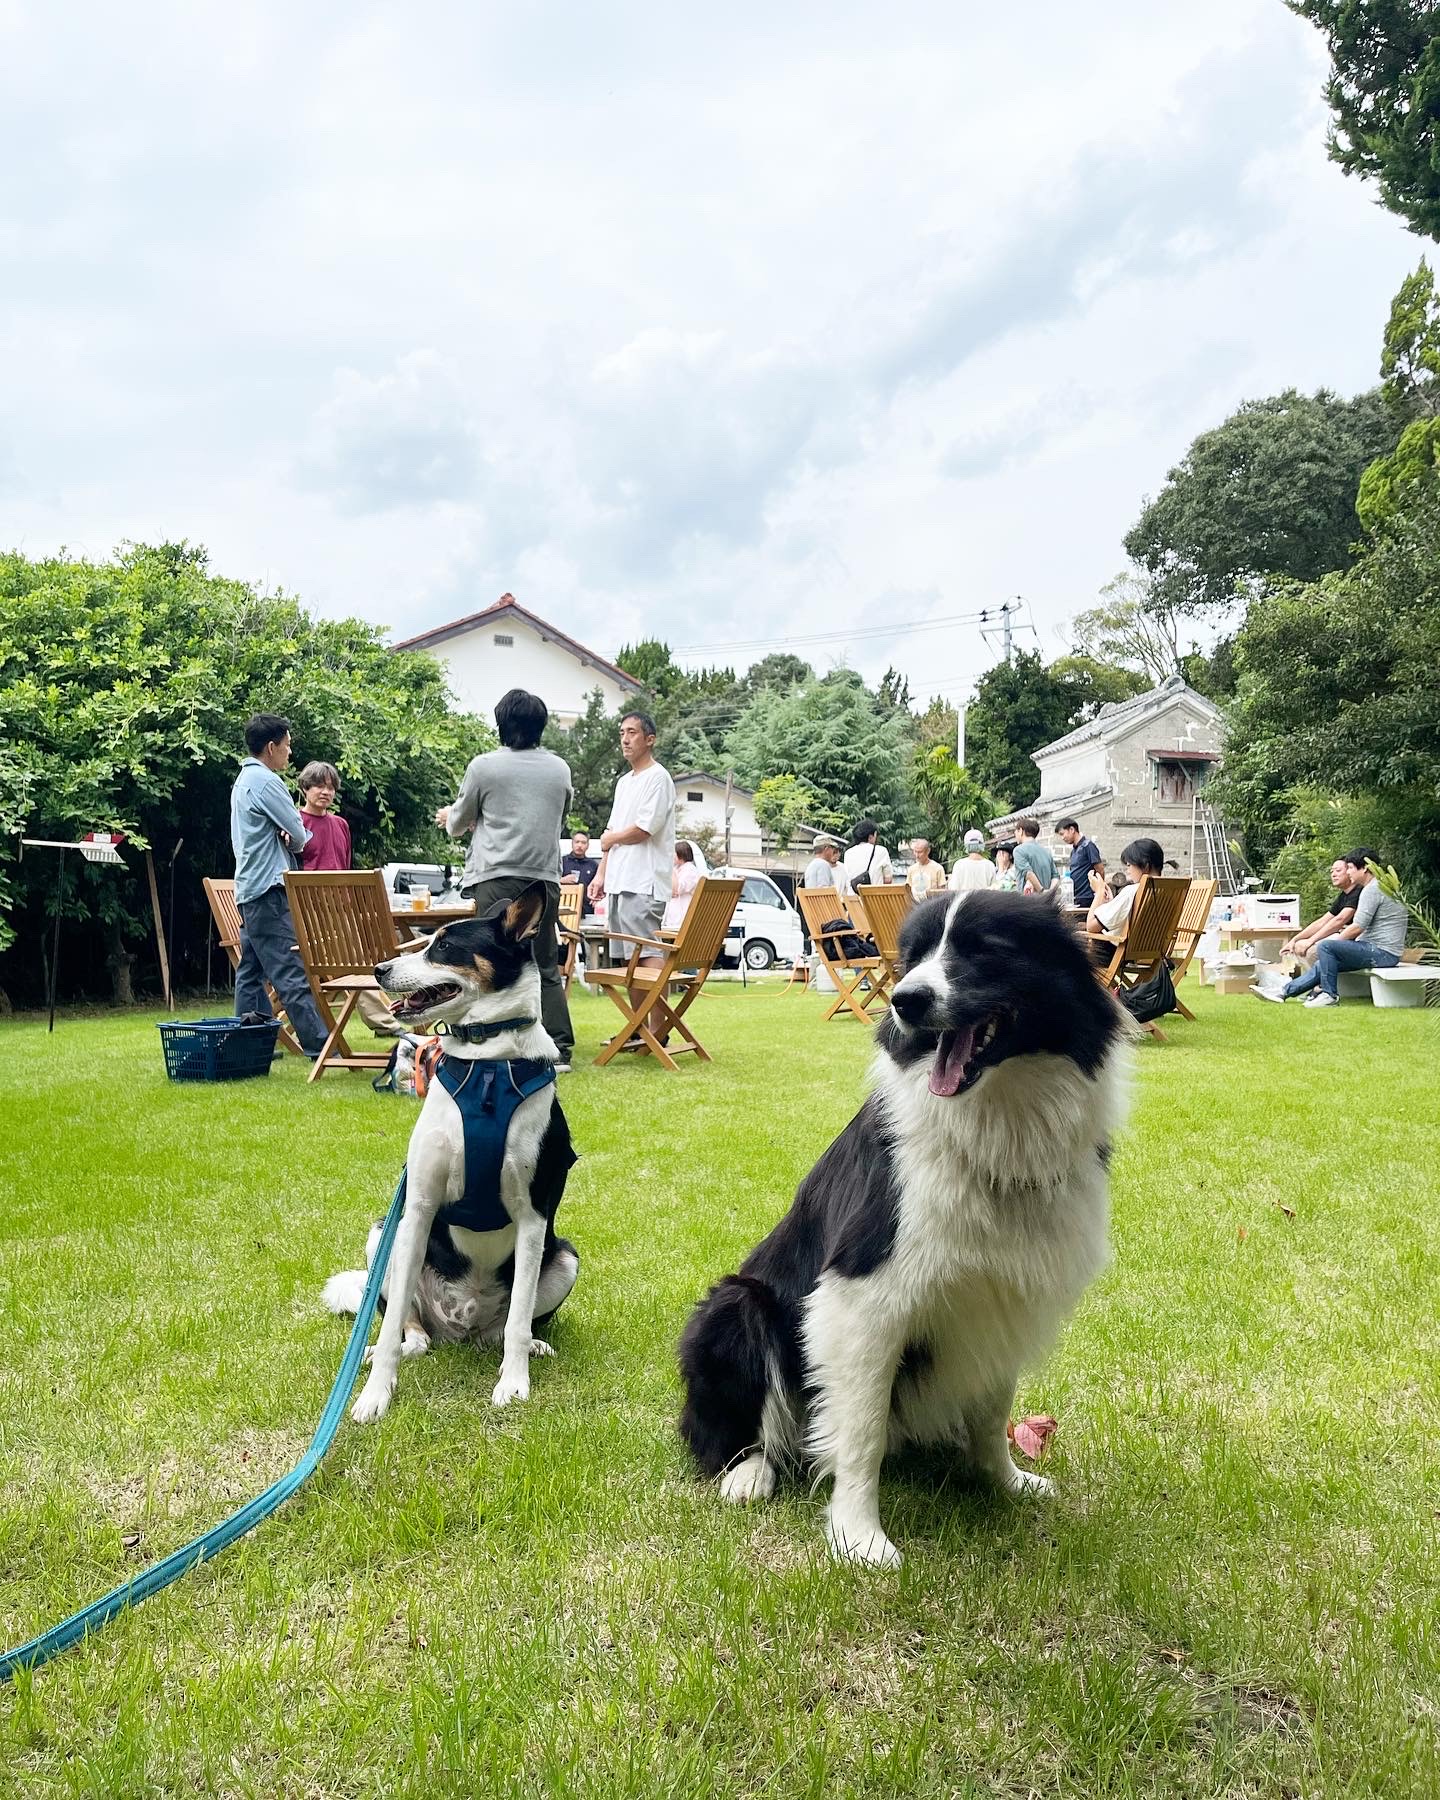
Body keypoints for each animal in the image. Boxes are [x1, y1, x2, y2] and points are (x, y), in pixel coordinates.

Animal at [324, 884, 579, 1424]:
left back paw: (527, 1349)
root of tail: (460, 1324)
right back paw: (390, 1348)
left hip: (564, 1257)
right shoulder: (417, 1209)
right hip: (385, 1236)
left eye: (443, 947)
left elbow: (519, 1322)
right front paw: (375, 1395)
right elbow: (390, 1325)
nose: (378, 969)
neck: (488, 1063)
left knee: (505, 1330)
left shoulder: (533, 1219)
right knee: (411, 1331)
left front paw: (514, 1384)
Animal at [678, 888, 1129, 1567]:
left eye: (984, 949)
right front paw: (859, 1538)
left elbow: (993, 1412)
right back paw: (748, 1473)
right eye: (912, 956)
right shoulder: (861, 1300)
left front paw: (1005, 1481)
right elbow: (859, 1432)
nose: (905, 1000)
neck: (995, 1126)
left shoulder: (1005, 1295)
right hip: (734, 1304)